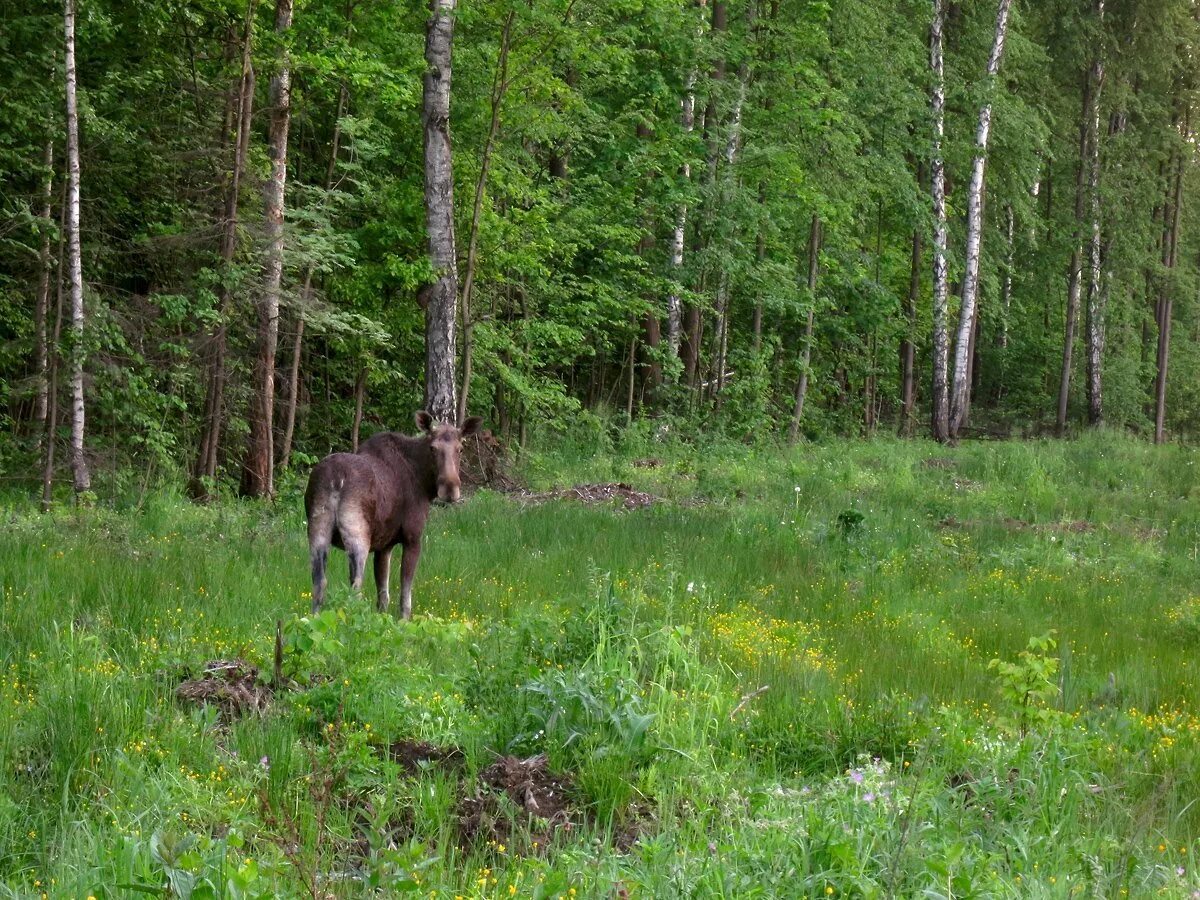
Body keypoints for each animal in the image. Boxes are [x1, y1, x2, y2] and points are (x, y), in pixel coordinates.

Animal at [304, 410, 482, 619]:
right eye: (432, 448)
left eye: (460, 449)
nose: (450, 489)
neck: (424, 482)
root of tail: (335, 479)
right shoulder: (412, 538)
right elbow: (405, 593)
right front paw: (403, 622)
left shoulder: (383, 546)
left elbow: (383, 595)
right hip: (357, 535)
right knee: (355, 587)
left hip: (317, 531)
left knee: (319, 583)